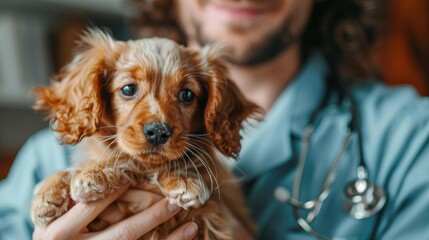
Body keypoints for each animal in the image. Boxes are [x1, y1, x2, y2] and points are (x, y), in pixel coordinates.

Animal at [30, 29, 260, 239]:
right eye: (128, 89)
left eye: (187, 94)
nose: (158, 131)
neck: (146, 168)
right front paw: (51, 191)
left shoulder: (211, 219)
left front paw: (184, 179)